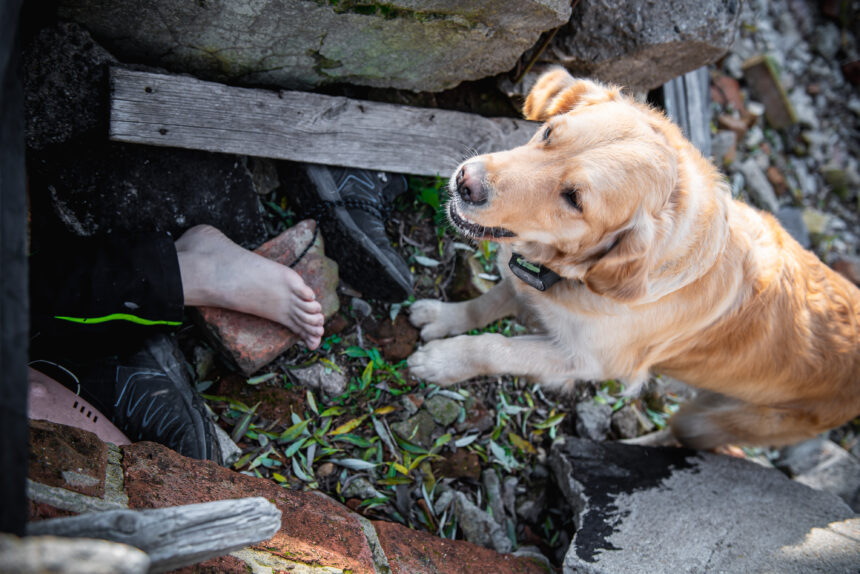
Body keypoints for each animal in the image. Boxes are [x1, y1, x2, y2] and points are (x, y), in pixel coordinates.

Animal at [408, 67, 860, 450]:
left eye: (575, 200)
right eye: (548, 133)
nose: (466, 182)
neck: (577, 273)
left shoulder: (583, 362)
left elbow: (494, 347)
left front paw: (442, 361)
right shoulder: (528, 282)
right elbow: (483, 306)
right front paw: (441, 318)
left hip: (708, 421)